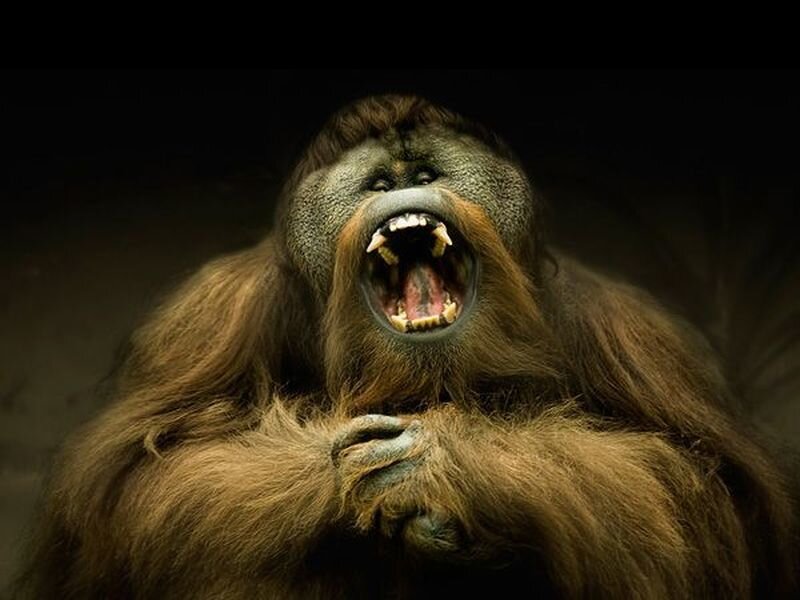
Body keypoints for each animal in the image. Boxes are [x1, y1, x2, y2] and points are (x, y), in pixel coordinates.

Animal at [17, 95, 797, 598]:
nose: (404, 193)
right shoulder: (212, 317)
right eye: (377, 183)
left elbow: (713, 495)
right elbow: (131, 484)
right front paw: (345, 469)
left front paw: (438, 458)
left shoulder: (621, 326)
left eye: (429, 173)